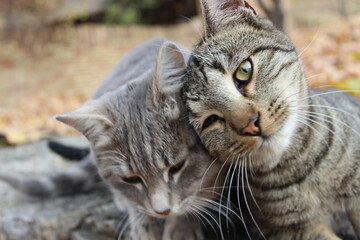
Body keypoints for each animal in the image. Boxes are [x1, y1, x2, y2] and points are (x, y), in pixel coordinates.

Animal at [0, 38, 226, 239]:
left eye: (177, 168)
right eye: (131, 179)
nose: (162, 211)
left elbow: (196, 194)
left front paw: (181, 227)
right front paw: (145, 224)